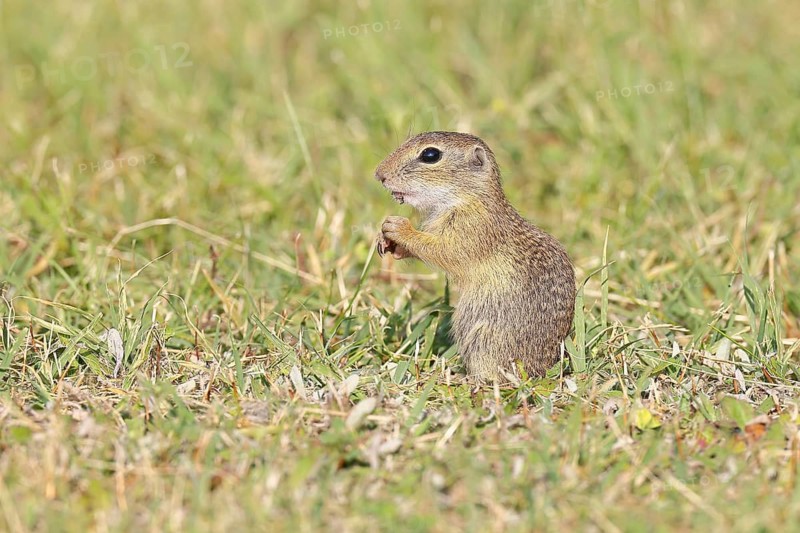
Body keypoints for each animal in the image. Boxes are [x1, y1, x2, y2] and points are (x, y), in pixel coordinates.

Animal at [374, 131, 575, 381]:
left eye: (430, 155)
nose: (379, 174)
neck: (468, 198)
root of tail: (542, 371)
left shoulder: (470, 230)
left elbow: (442, 249)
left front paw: (398, 227)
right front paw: (387, 241)